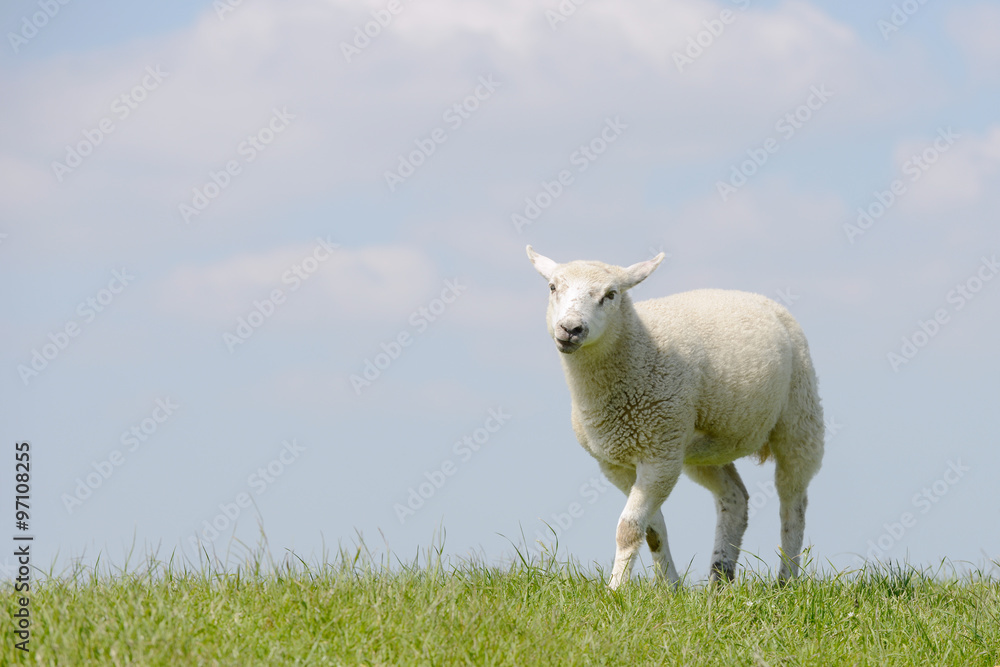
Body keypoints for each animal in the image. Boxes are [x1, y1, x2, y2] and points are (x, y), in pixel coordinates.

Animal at [528, 247, 824, 588]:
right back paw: (719, 580)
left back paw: (786, 580)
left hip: (800, 418)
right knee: (736, 498)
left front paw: (615, 589)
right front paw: (670, 587)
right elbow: (651, 530)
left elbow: (628, 529)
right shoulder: (616, 464)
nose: (570, 329)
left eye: (611, 294)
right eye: (552, 287)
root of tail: (752, 296)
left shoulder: (660, 456)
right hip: (704, 448)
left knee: (793, 505)